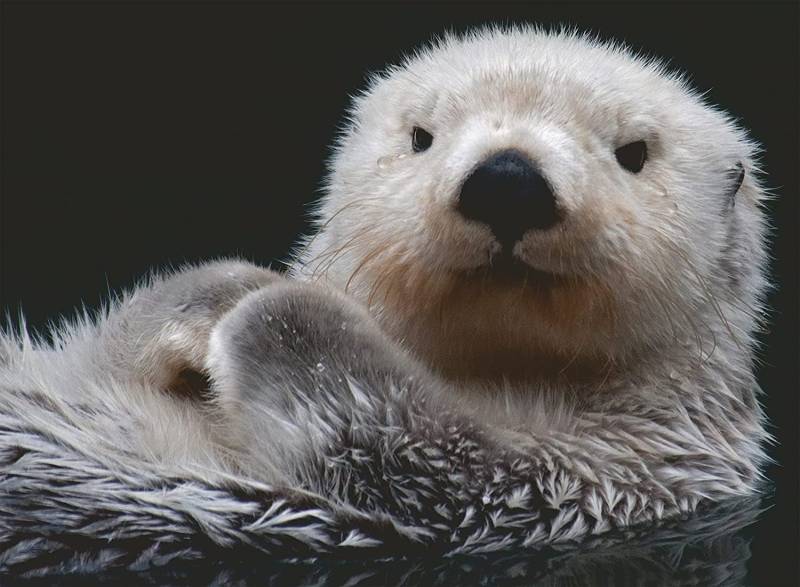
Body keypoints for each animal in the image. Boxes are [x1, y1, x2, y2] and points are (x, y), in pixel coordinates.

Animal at [0, 27, 769, 574]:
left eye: (634, 152)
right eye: (421, 136)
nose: (509, 180)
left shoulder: (599, 477)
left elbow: (405, 441)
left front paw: (272, 307)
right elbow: (104, 348)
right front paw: (220, 292)